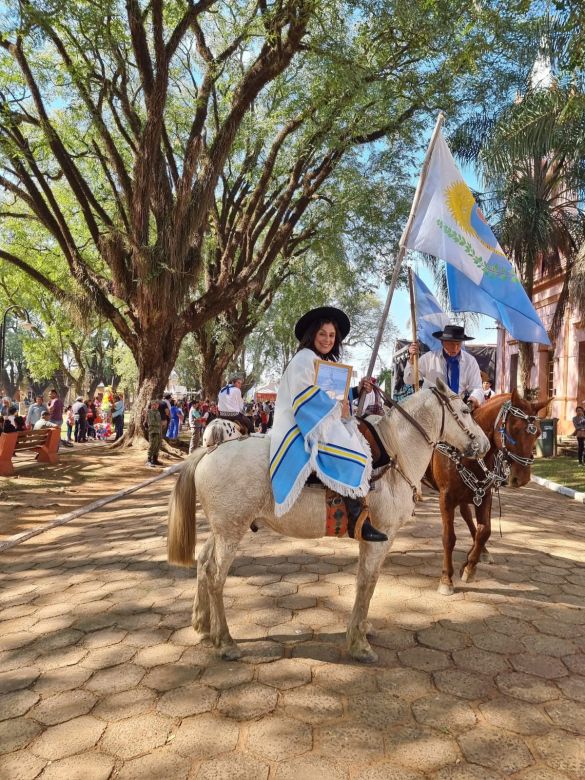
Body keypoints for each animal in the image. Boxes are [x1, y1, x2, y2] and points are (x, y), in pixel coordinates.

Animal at [169, 378, 488, 664]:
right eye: (467, 410)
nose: (484, 444)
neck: (396, 452)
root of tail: (210, 451)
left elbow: (365, 581)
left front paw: (362, 629)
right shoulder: (380, 537)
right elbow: (368, 582)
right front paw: (358, 643)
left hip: (222, 530)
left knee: (203, 563)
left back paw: (203, 626)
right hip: (231, 532)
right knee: (215, 575)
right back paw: (225, 643)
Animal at [424, 390, 548, 596]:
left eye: (538, 432)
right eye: (513, 429)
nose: (521, 479)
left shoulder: (484, 495)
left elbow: (485, 531)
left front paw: (469, 567)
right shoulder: (446, 497)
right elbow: (449, 538)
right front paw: (446, 579)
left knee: (467, 515)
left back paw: (482, 552)